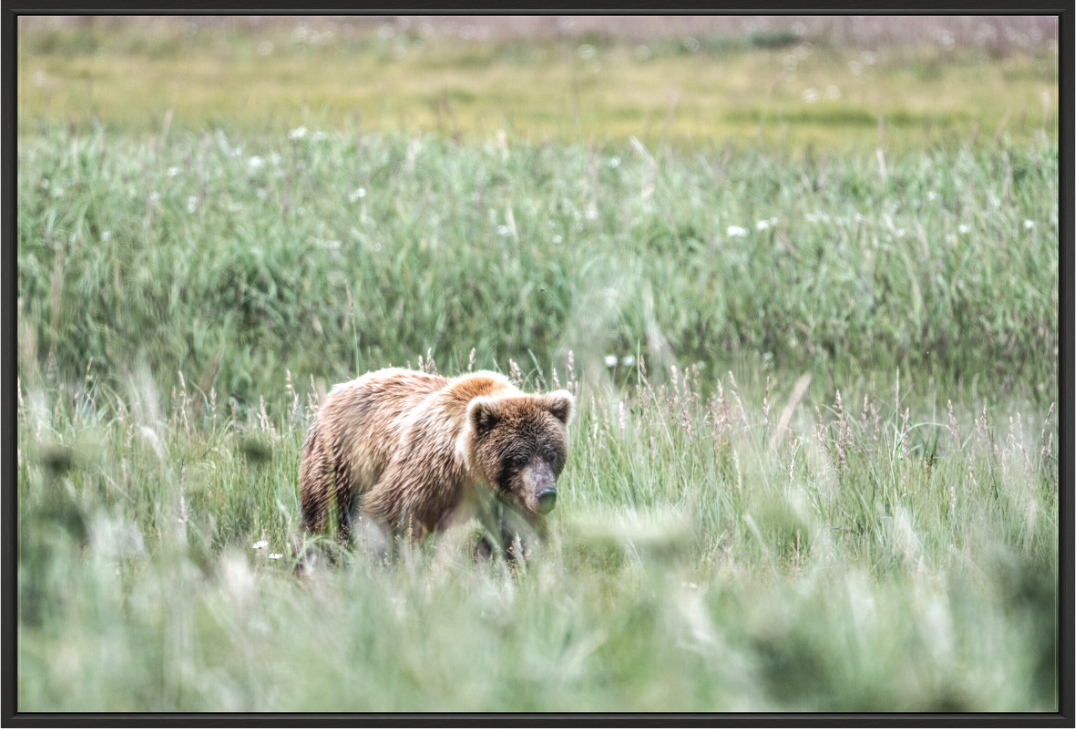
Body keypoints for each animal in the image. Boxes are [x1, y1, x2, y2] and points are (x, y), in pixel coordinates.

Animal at [298, 367, 574, 550]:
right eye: (518, 459)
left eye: (551, 454)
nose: (546, 494)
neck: (469, 467)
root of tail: (338, 389)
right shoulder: (427, 473)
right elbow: (386, 511)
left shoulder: (507, 498)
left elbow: (518, 535)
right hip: (341, 460)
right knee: (325, 517)